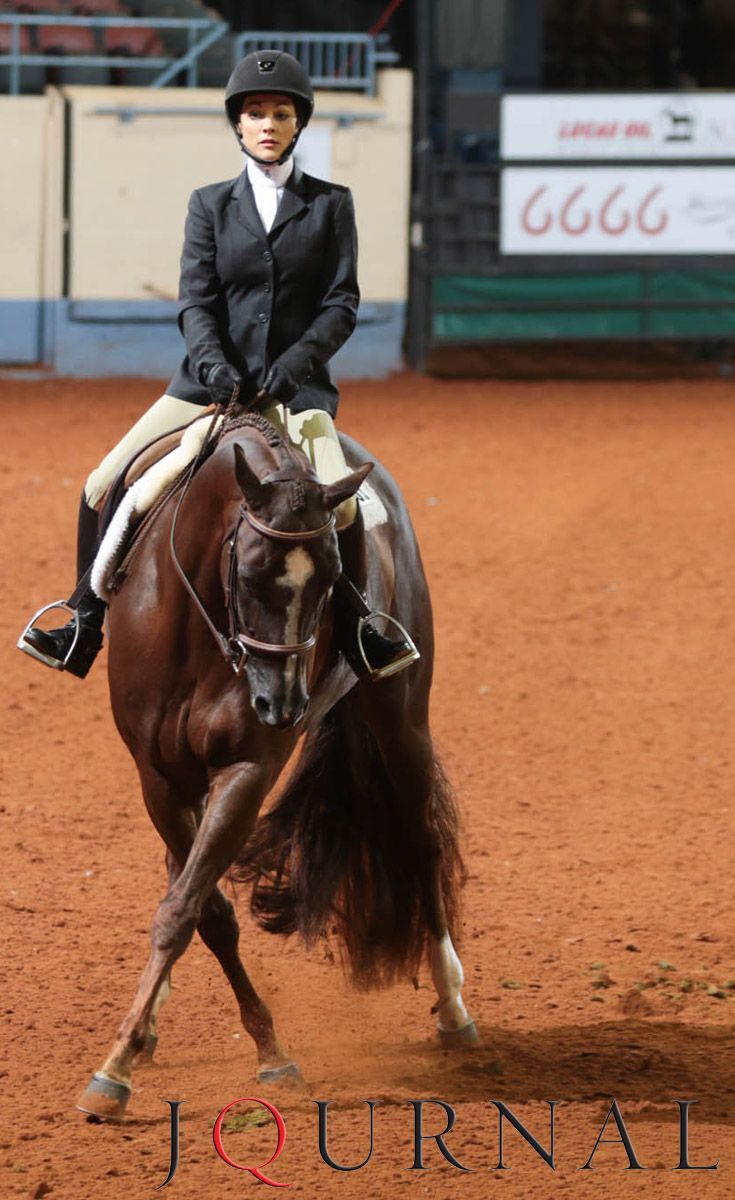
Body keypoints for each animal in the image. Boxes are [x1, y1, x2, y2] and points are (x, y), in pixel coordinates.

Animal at [74, 412, 475, 1123]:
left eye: (334, 576)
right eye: (254, 571)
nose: (282, 706)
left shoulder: (247, 768)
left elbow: (187, 908)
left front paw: (118, 1068)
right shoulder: (157, 776)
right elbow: (201, 908)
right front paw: (135, 1045)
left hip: (402, 717)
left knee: (421, 839)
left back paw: (454, 1008)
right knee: (182, 870)